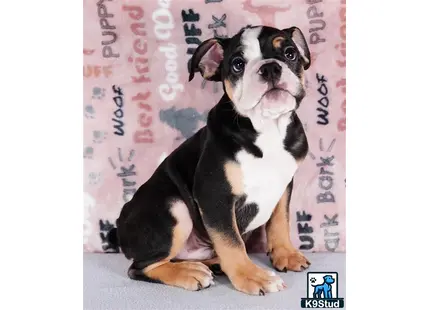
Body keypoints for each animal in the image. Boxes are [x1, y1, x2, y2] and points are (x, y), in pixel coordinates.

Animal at [108, 24, 312, 296]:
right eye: (237, 64)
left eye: (290, 53)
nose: (270, 67)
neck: (267, 127)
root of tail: (119, 228)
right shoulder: (215, 195)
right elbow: (231, 240)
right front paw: (252, 276)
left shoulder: (284, 184)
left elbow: (280, 221)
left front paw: (285, 254)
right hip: (174, 207)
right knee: (141, 267)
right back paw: (189, 272)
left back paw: (213, 265)